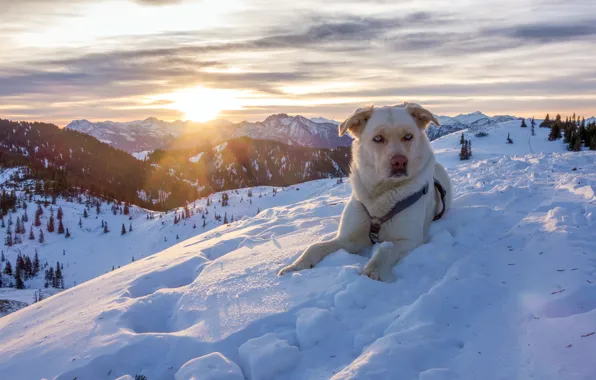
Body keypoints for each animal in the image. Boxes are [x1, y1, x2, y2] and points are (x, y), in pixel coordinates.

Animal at [278, 102, 452, 280]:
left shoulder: (409, 240)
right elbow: (315, 247)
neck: (381, 194)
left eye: (408, 136)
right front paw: (295, 267)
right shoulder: (349, 238)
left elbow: (385, 249)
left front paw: (373, 271)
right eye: (378, 138)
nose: (400, 162)